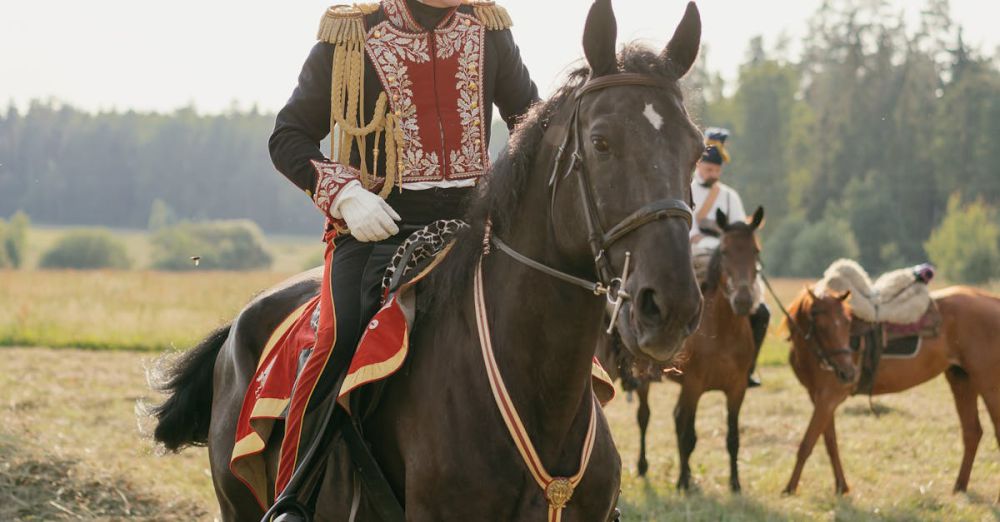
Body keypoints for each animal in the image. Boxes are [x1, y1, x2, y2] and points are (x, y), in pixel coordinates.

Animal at [152, 2, 708, 516]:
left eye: (697, 147)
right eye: (601, 142)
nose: (671, 308)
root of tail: (237, 326)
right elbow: (288, 132)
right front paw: (364, 209)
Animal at [604, 205, 760, 490]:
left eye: (755, 251)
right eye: (724, 251)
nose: (743, 300)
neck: (723, 332)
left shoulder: (737, 390)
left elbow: (733, 437)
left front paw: (735, 483)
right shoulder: (693, 387)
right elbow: (688, 436)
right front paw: (684, 482)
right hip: (648, 382)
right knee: (646, 417)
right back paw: (645, 467)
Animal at [780, 284, 1000, 500]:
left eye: (846, 323)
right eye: (821, 325)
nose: (848, 372)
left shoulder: (828, 397)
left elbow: (807, 443)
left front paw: (789, 488)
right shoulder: (819, 398)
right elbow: (830, 443)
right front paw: (841, 487)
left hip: (988, 385)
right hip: (961, 380)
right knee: (972, 432)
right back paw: (960, 487)